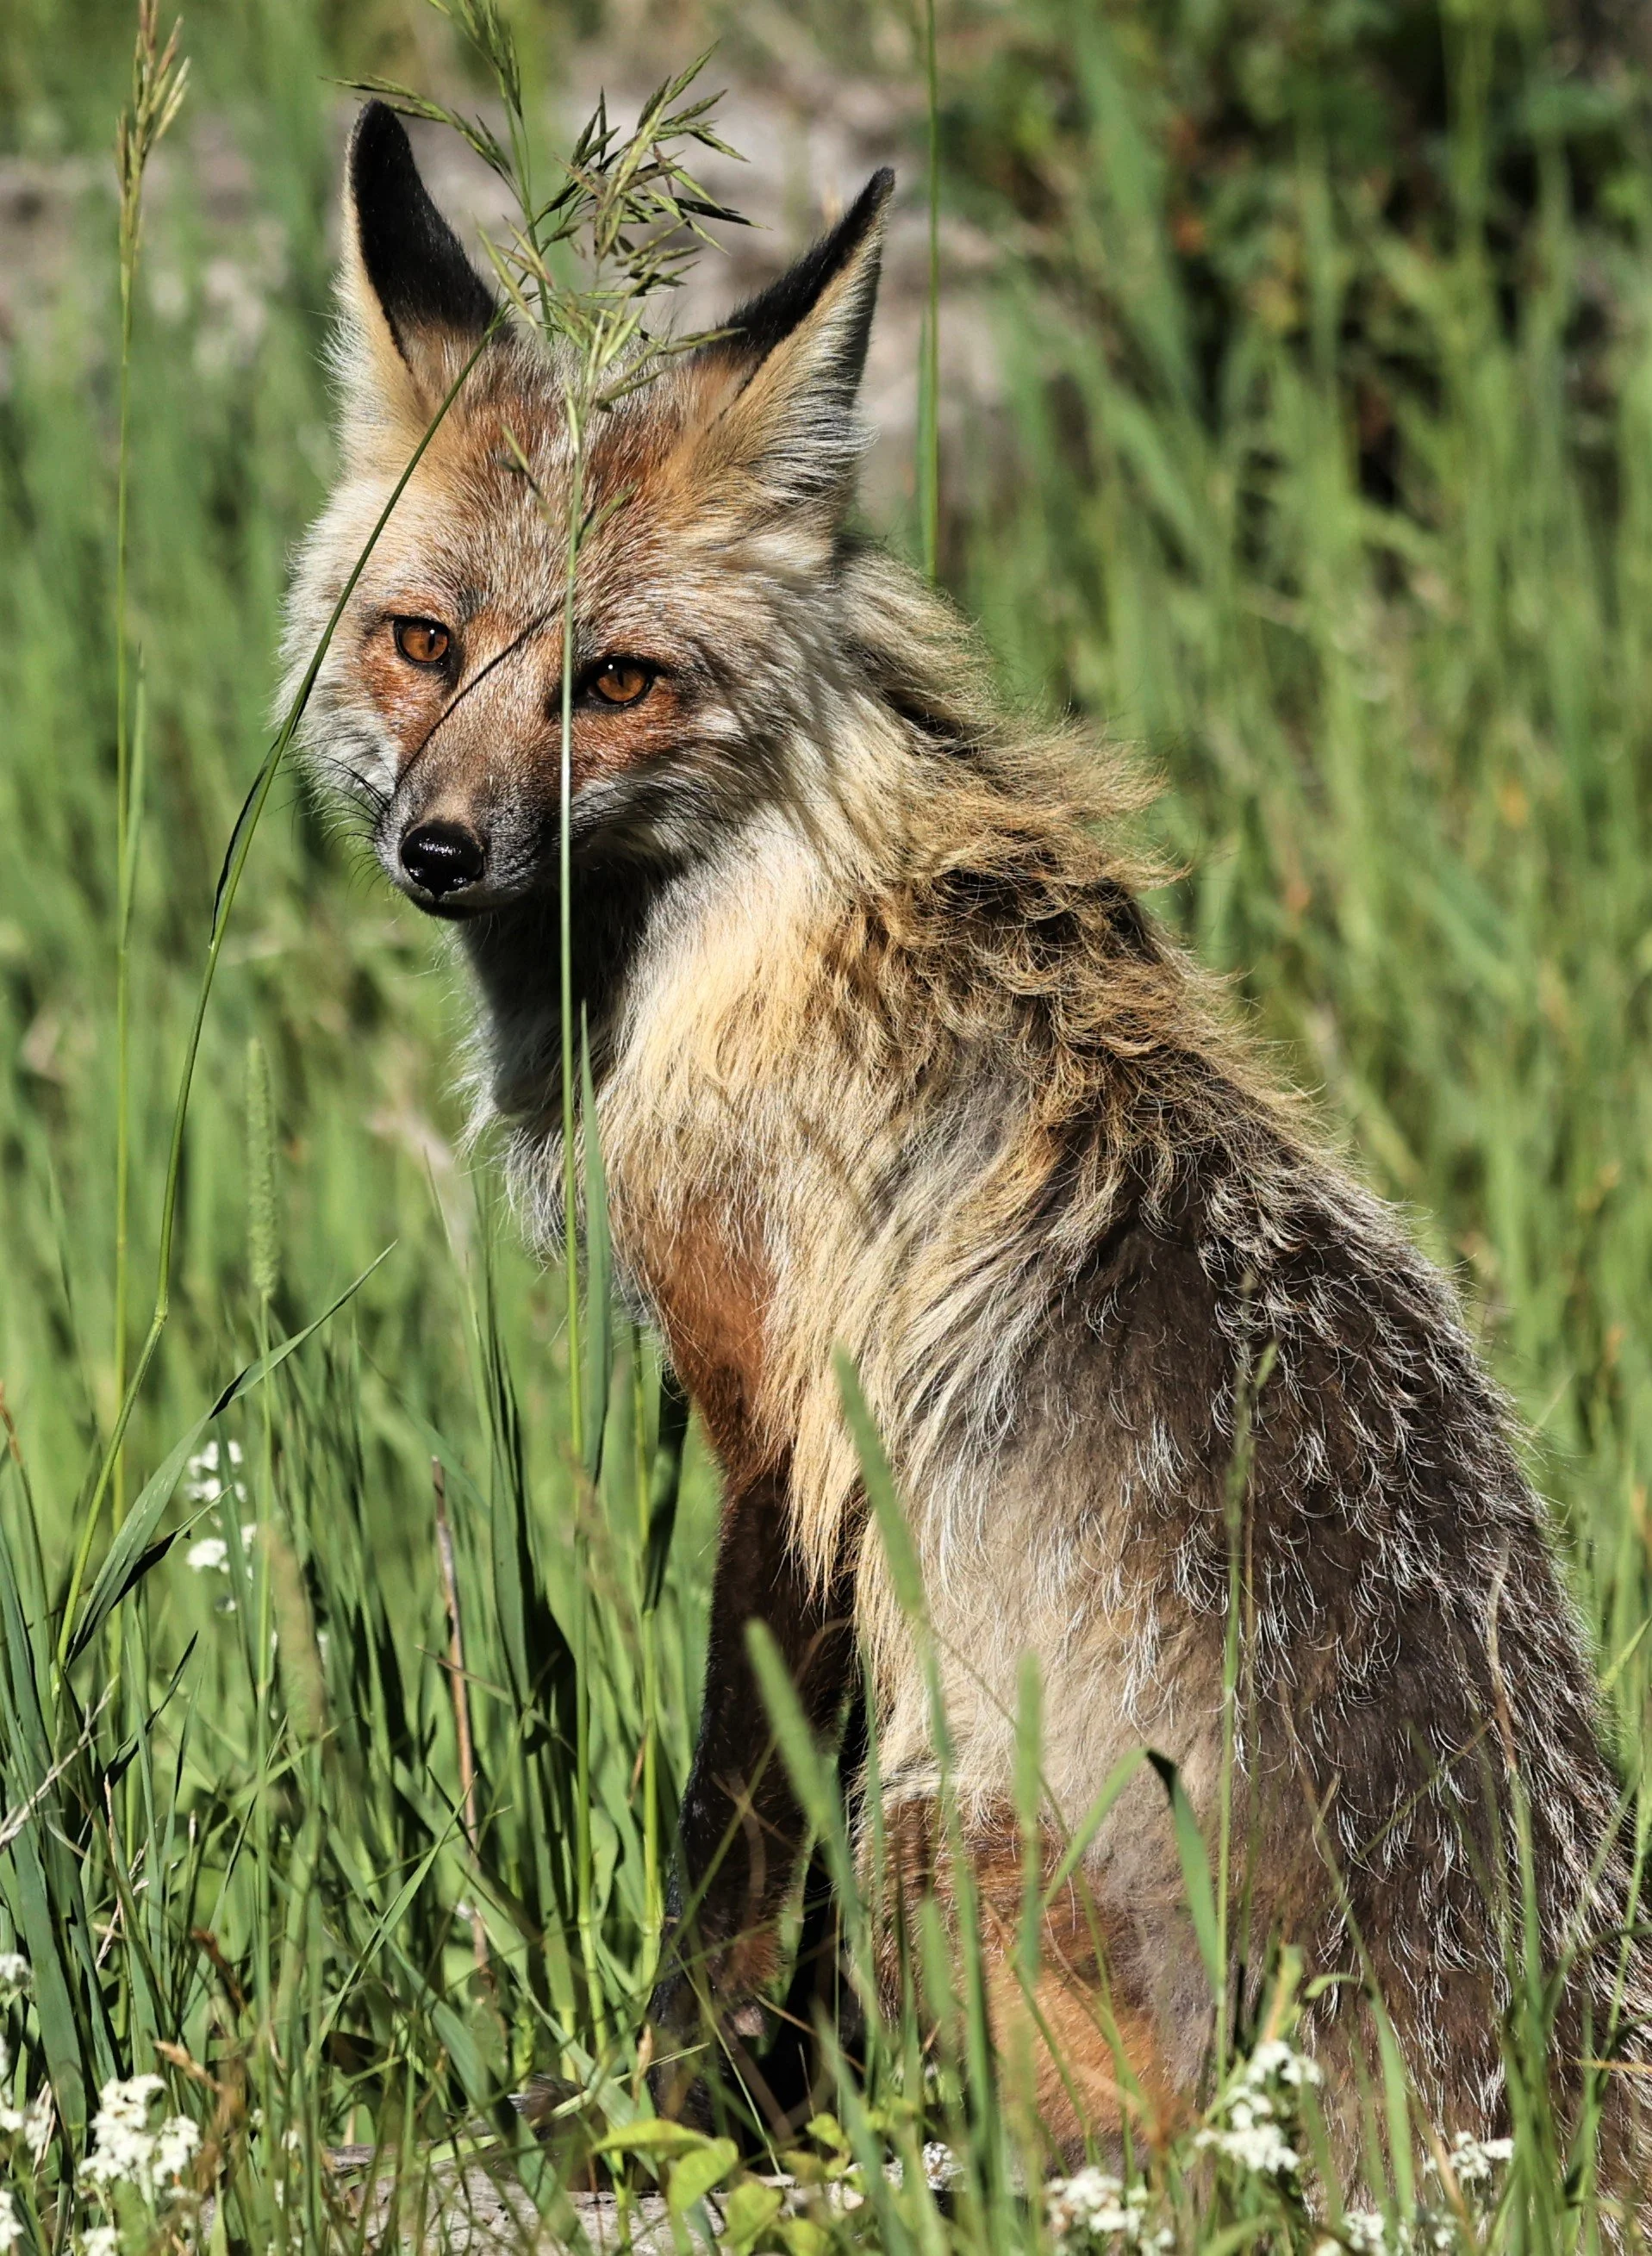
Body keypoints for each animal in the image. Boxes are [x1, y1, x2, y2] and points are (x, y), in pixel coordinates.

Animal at [285, 100, 1650, 2187]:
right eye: (422, 641)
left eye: (618, 680)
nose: (436, 847)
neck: (729, 939)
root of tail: (1512, 2071)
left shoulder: (782, 1430)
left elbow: (727, 1859)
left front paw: (660, 2120)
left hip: (938, 1846)